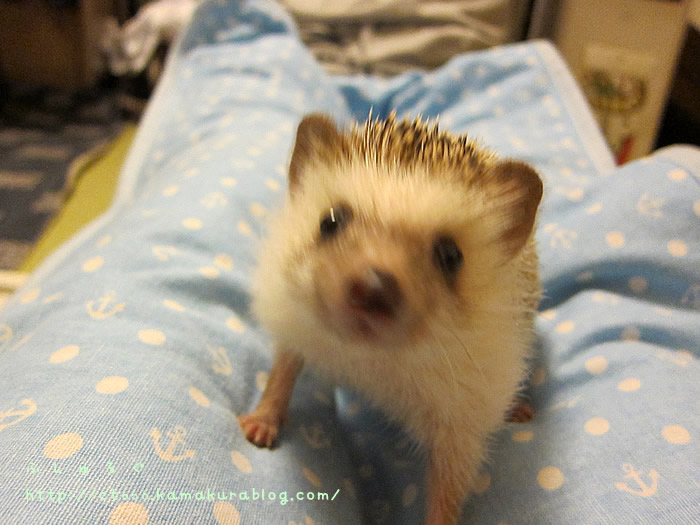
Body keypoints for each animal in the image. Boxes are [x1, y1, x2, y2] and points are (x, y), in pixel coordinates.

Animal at [238, 112, 543, 525]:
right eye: (330, 221)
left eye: (451, 255)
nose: (373, 288)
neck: (373, 360)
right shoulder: (294, 314)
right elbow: (284, 367)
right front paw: (261, 422)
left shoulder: (468, 404)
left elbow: (452, 478)